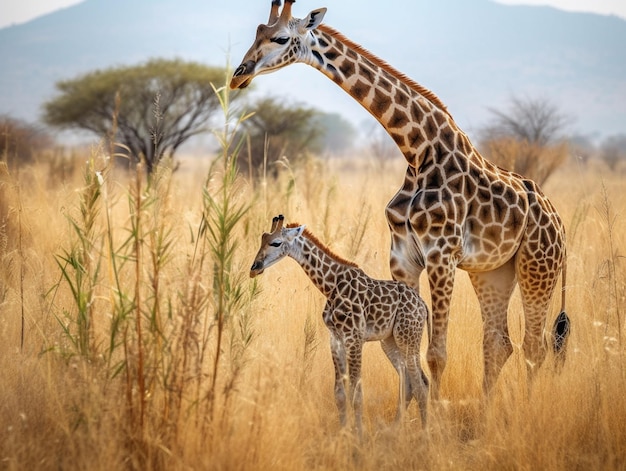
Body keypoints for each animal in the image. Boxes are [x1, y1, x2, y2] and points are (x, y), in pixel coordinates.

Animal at [230, 0, 572, 398]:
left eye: (281, 38)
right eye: (257, 31)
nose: (238, 75)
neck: (418, 151)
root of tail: (560, 224)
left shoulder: (442, 255)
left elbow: (436, 353)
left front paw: (435, 415)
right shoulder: (404, 256)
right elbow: (411, 354)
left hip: (537, 268)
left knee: (535, 346)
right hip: (493, 271)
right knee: (500, 343)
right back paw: (486, 409)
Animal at [249, 215, 428, 436]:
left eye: (276, 242)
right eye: (262, 239)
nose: (254, 268)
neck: (331, 287)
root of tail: (423, 306)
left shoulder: (354, 337)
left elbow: (356, 393)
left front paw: (359, 437)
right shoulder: (335, 339)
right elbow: (340, 394)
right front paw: (344, 433)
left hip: (408, 337)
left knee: (421, 386)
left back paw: (425, 434)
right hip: (390, 341)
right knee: (409, 383)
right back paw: (394, 431)